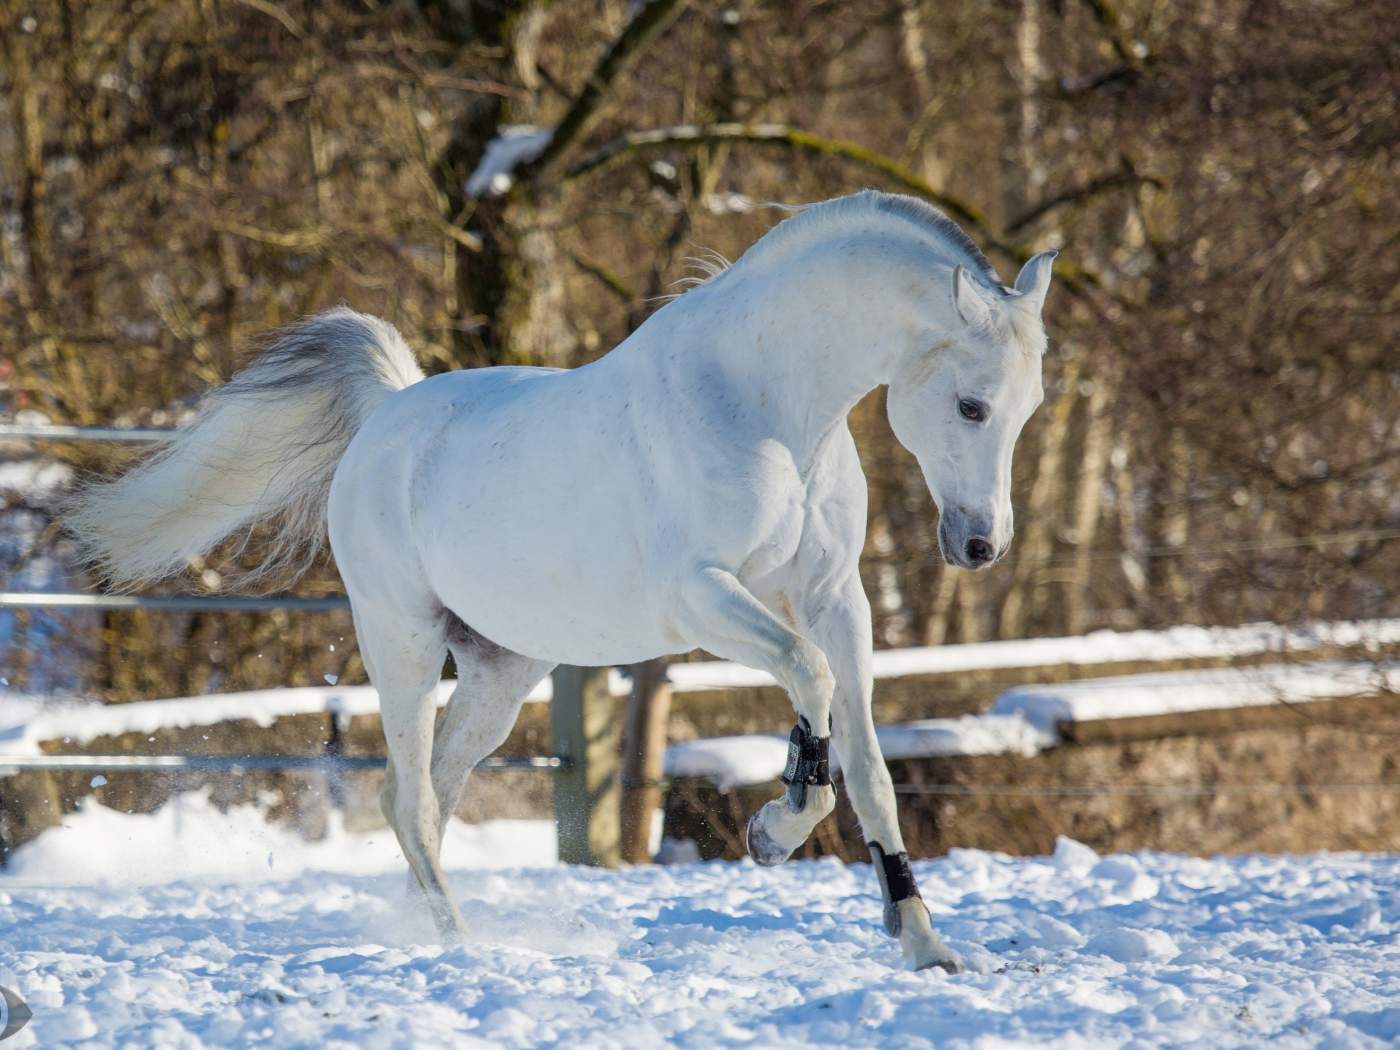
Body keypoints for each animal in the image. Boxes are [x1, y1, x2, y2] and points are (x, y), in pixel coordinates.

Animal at [68, 187, 1052, 968]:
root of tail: (387, 413)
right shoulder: (700, 598)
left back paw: (442, 930)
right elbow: (807, 684)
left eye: (1029, 406)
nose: (981, 545)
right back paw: (461, 946)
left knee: (424, 797)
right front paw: (770, 834)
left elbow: (871, 767)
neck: (764, 407)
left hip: (501, 674)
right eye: (971, 404)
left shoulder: (834, 602)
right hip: (402, 644)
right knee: (411, 797)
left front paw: (924, 944)